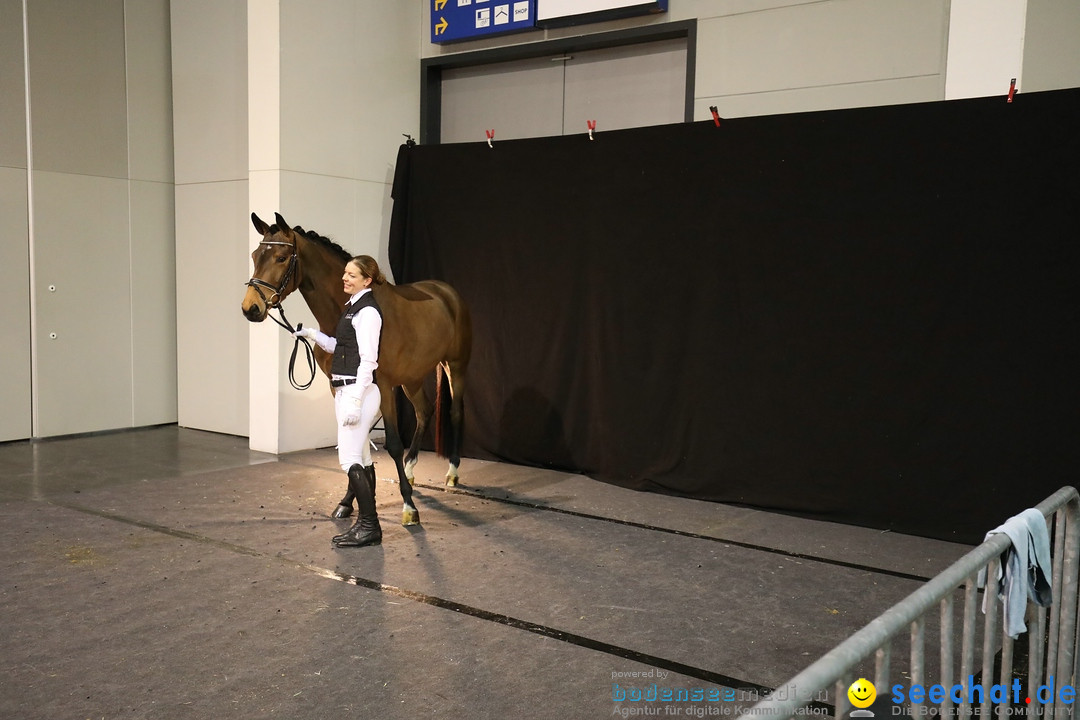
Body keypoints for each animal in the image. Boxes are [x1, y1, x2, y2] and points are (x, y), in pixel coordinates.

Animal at [243, 211, 470, 526]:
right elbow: (354, 443)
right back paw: (410, 471)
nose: (250, 308)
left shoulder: (383, 385)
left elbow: (392, 444)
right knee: (425, 412)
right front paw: (348, 502)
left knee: (456, 412)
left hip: (455, 366)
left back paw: (452, 473)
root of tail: (446, 291)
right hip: (411, 377)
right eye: (255, 255)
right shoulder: (338, 386)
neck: (346, 314)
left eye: (280, 257)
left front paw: (408, 507)